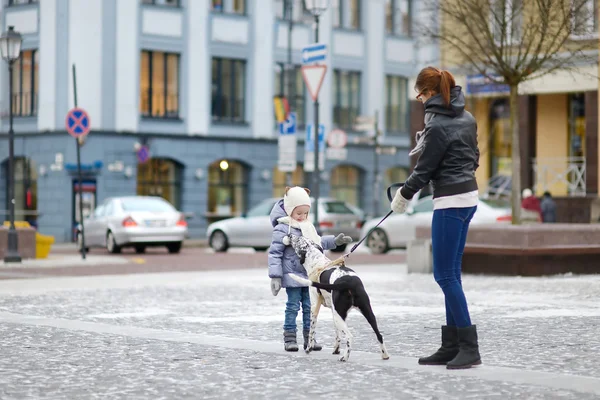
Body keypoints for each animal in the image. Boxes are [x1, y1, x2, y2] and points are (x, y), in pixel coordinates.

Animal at [286, 234, 390, 362]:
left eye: (298, 240)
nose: (290, 235)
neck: (317, 262)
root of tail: (348, 282)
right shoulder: (332, 310)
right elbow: (337, 333)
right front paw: (336, 349)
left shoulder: (314, 307)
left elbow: (311, 330)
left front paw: (309, 348)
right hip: (366, 313)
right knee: (379, 335)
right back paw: (385, 355)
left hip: (339, 315)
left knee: (350, 336)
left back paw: (345, 357)